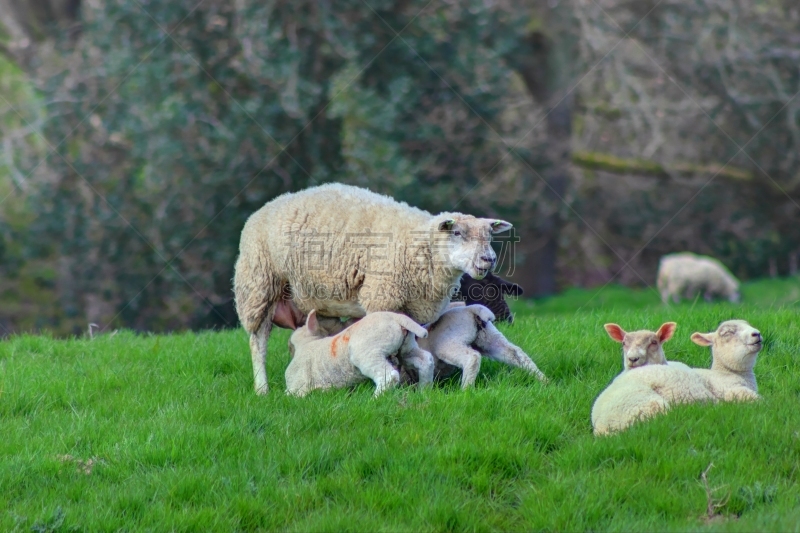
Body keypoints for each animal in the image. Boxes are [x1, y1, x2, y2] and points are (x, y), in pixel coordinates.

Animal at [282, 308, 432, 394]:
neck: (307, 343)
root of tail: (396, 317)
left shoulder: (296, 384)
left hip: (368, 353)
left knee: (389, 377)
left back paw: (375, 399)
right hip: (407, 348)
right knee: (425, 360)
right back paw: (424, 390)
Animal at [416, 304, 548, 386]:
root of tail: (472, 309)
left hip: (447, 343)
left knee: (472, 357)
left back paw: (466, 390)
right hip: (489, 337)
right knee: (515, 353)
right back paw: (543, 380)